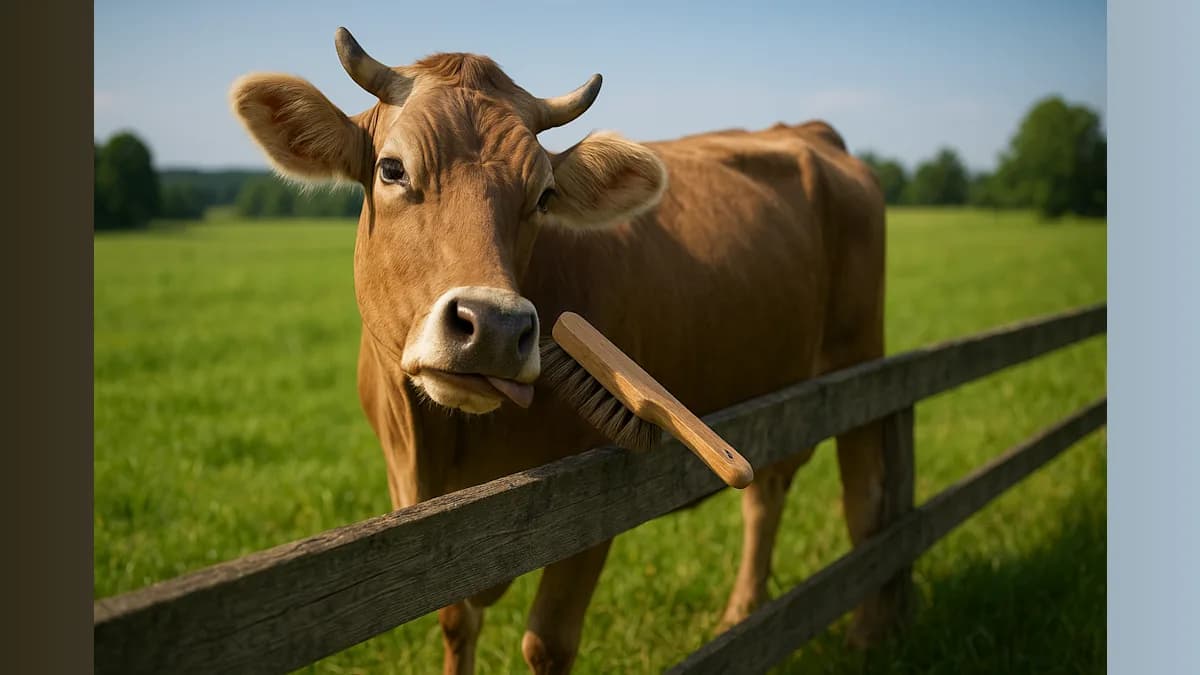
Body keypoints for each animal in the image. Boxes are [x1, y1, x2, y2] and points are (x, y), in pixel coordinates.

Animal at [230, 28, 890, 675]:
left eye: (544, 196)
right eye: (391, 168)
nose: (494, 327)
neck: (441, 445)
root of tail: (808, 131)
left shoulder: (587, 506)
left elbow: (547, 643)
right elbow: (456, 623)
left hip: (860, 360)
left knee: (864, 496)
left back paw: (864, 632)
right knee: (767, 495)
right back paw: (740, 615)